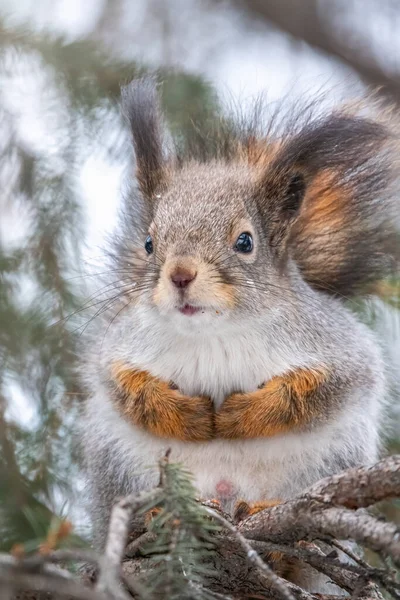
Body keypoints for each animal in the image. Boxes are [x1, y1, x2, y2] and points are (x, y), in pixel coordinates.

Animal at [79, 77, 400, 592]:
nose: (180, 274)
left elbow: (318, 389)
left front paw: (240, 416)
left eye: (245, 242)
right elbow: (123, 384)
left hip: (331, 461)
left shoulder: (339, 348)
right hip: (117, 464)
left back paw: (282, 542)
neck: (214, 332)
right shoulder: (119, 346)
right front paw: (185, 415)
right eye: (149, 242)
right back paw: (157, 520)